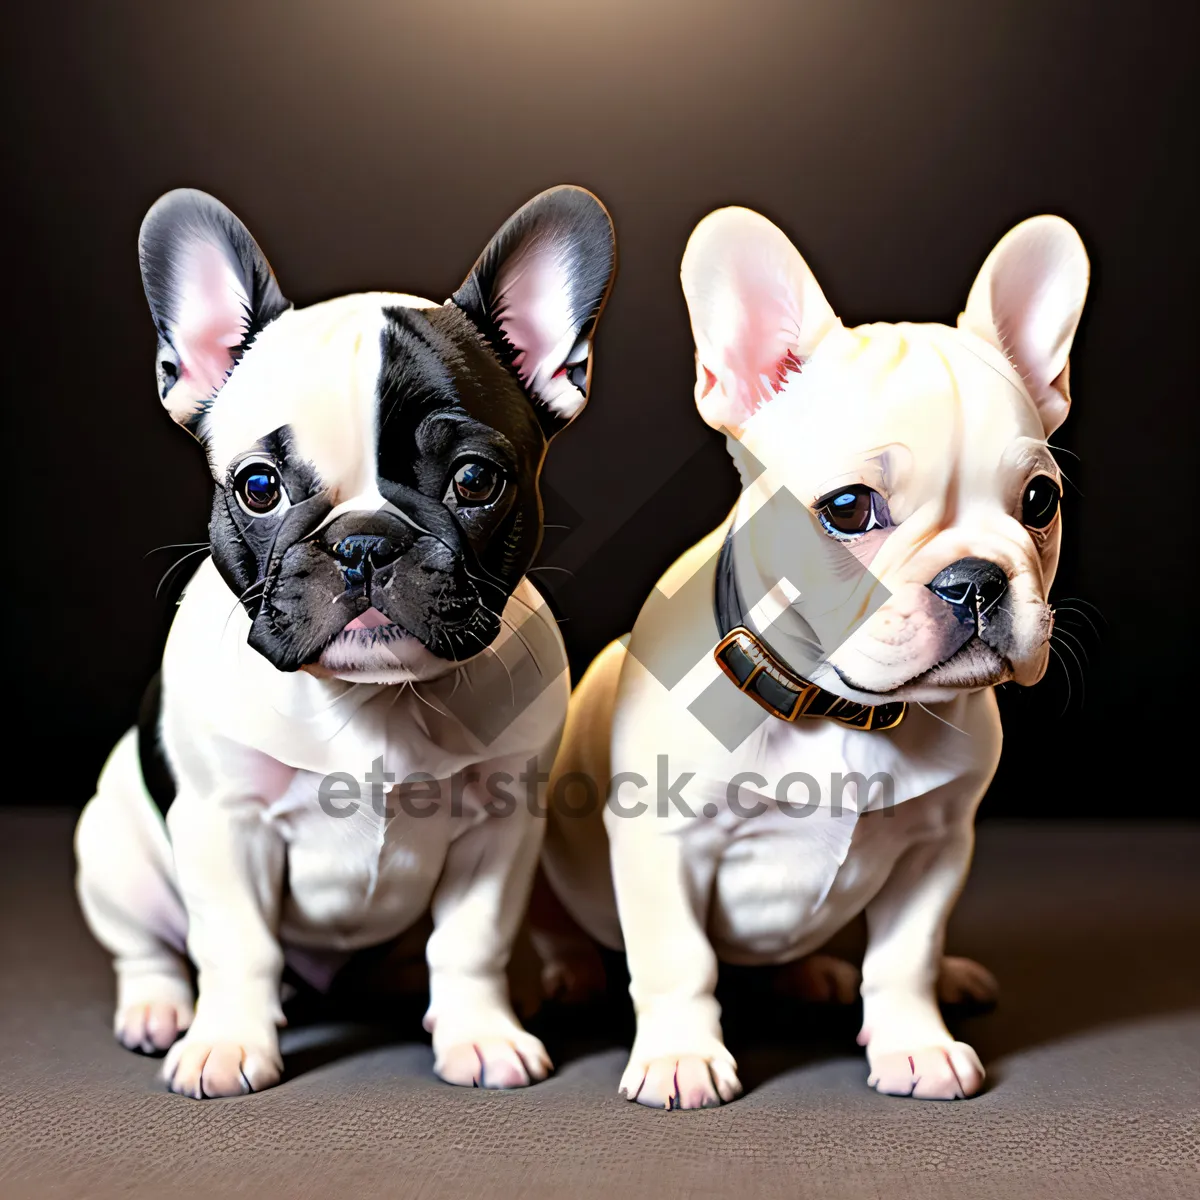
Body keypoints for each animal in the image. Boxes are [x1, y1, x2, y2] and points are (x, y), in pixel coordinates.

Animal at [542, 204, 1089, 1104]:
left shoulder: (938, 846)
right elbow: (678, 959)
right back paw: (574, 975)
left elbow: (905, 956)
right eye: (848, 509)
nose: (975, 579)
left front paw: (915, 1043)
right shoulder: (665, 847)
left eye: (1040, 501)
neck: (842, 708)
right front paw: (681, 1057)